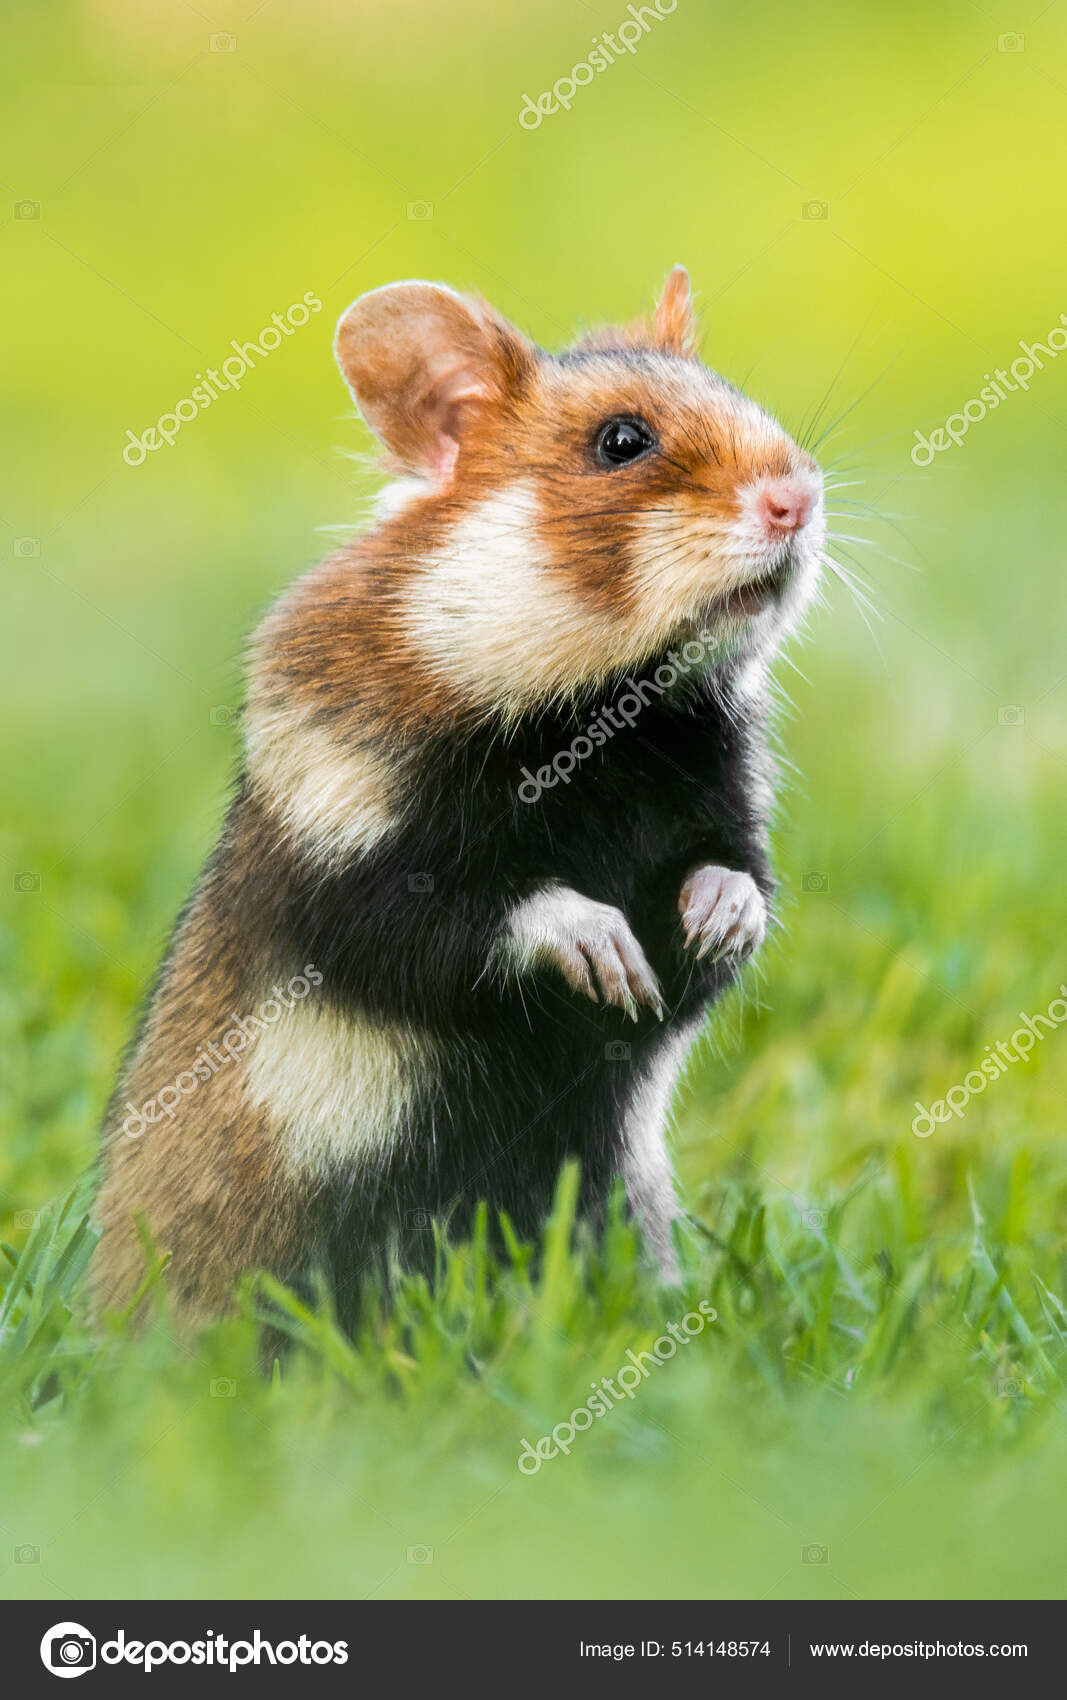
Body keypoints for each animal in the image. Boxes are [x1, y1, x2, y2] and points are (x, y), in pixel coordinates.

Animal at [90, 266, 824, 1328]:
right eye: (621, 442)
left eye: (737, 392)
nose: (799, 497)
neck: (603, 712)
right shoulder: (349, 865)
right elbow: (480, 912)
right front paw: (605, 949)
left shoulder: (718, 807)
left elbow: (724, 894)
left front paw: (719, 917)